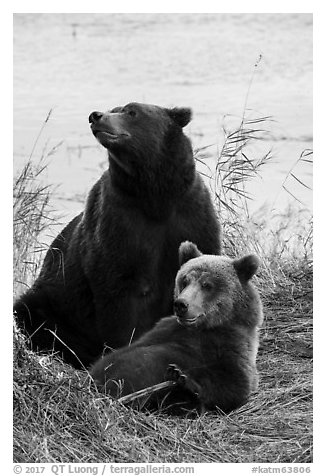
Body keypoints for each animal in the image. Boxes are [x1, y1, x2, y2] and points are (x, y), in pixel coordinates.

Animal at [13, 101, 222, 368]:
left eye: (132, 111)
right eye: (115, 108)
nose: (95, 116)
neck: (154, 195)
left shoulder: (190, 217)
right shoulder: (119, 225)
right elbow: (117, 294)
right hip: (56, 301)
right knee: (31, 313)